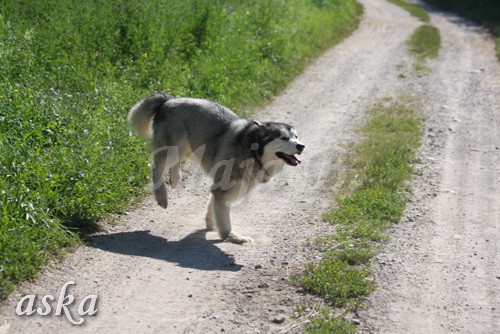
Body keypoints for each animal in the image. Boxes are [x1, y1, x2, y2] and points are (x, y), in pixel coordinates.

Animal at [128, 92, 304, 244]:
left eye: (296, 137)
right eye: (283, 138)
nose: (301, 146)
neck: (253, 151)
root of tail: (168, 100)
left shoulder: (222, 187)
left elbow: (213, 205)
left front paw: (210, 223)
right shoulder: (224, 189)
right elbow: (224, 219)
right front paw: (231, 236)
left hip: (188, 147)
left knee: (173, 163)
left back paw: (176, 177)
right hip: (177, 145)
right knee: (156, 167)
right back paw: (162, 197)